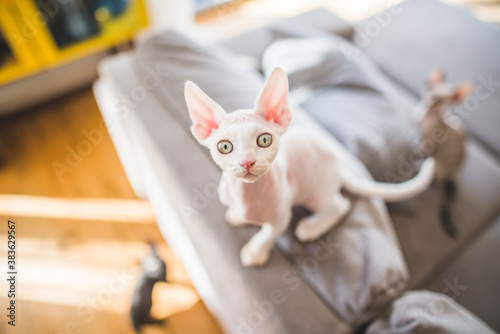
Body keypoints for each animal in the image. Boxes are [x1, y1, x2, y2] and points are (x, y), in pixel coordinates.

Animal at [184, 67, 434, 266]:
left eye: (264, 140)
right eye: (225, 147)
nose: (247, 162)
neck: (248, 193)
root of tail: (339, 164)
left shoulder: (281, 217)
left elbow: (267, 234)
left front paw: (255, 253)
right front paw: (238, 215)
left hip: (316, 192)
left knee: (340, 206)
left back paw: (312, 227)